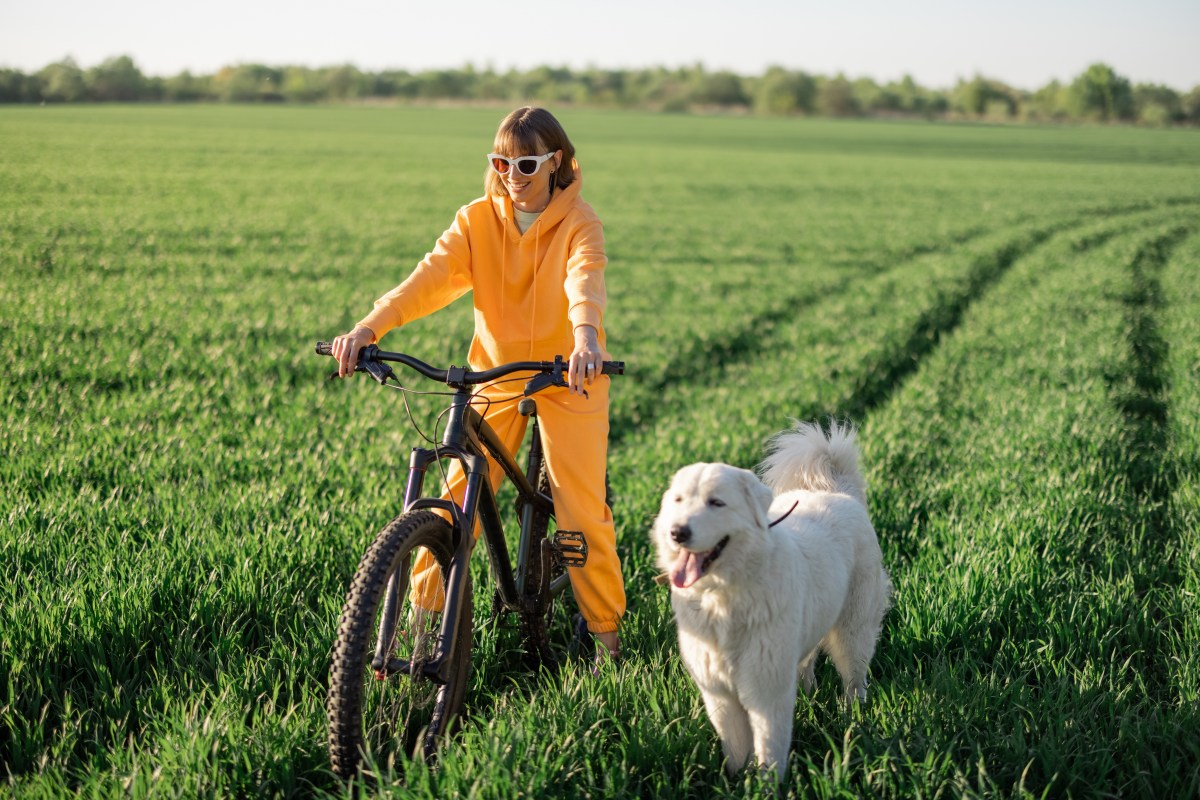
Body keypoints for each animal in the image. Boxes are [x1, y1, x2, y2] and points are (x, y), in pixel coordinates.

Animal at [657, 422, 892, 777]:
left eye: (716, 503)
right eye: (679, 500)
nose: (678, 532)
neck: (724, 597)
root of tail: (839, 490)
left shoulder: (765, 690)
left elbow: (769, 748)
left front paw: (766, 784)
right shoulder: (720, 694)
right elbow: (735, 749)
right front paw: (737, 780)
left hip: (853, 630)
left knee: (854, 678)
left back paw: (854, 719)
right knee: (807, 663)